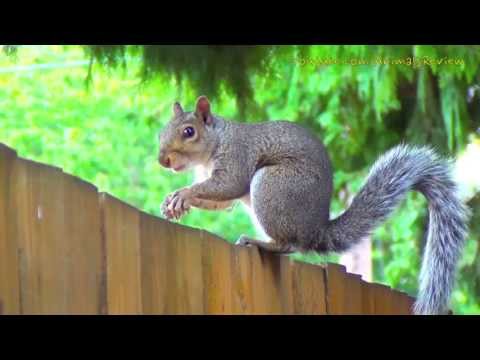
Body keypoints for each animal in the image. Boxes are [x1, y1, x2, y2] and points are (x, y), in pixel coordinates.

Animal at [158, 95, 468, 316]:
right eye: (162, 132)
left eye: (189, 132)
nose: (163, 160)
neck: (216, 142)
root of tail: (315, 229)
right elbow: (220, 201)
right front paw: (177, 202)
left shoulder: (237, 158)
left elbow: (228, 185)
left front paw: (183, 195)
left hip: (271, 187)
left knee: (289, 245)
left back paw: (259, 242)